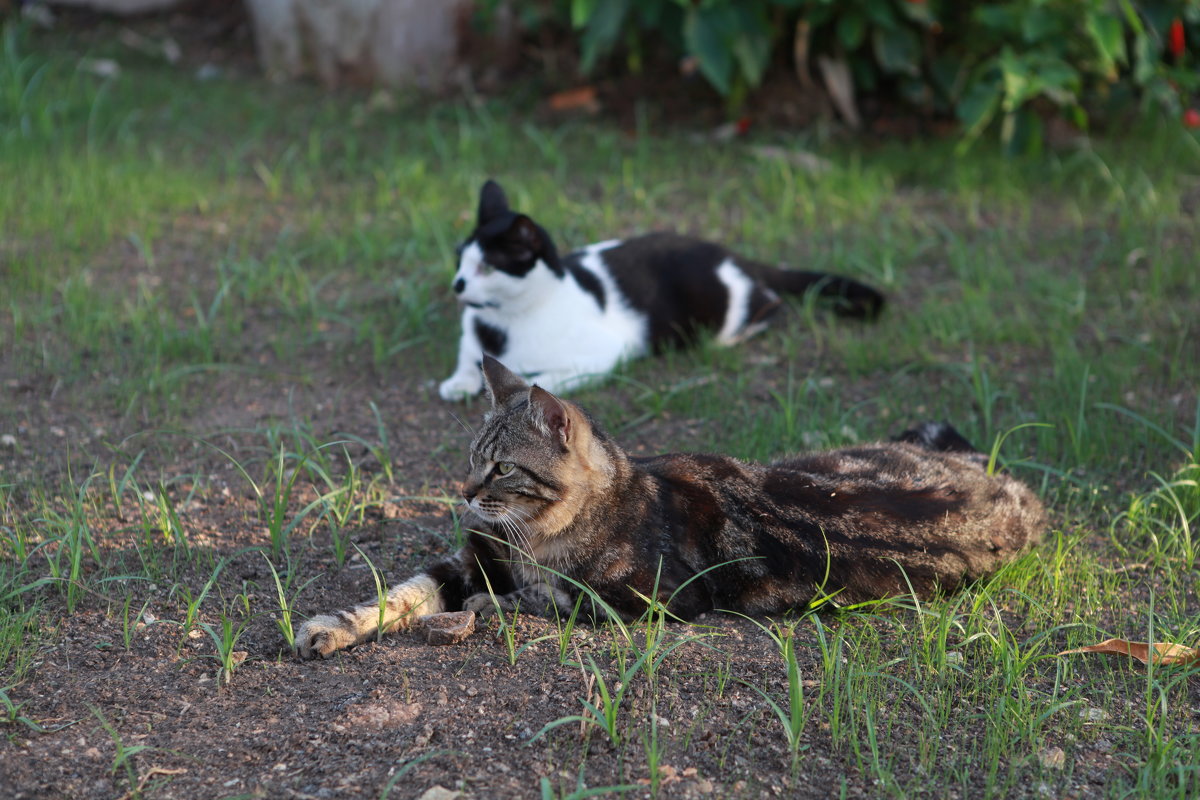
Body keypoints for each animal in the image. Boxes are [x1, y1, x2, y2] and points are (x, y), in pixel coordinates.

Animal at [292, 359, 1041, 662]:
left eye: (501, 467)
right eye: (472, 457)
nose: (467, 492)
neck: (539, 533)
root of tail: (1011, 488)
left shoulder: (653, 597)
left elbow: (550, 599)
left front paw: (489, 608)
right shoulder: (468, 559)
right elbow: (395, 595)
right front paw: (332, 628)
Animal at [436, 181, 888, 400]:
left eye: (487, 266)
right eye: (459, 258)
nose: (458, 284)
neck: (502, 323)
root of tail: (730, 253)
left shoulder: (606, 351)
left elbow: (549, 379)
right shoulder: (471, 337)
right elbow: (466, 358)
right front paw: (459, 382)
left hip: (724, 306)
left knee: (770, 304)